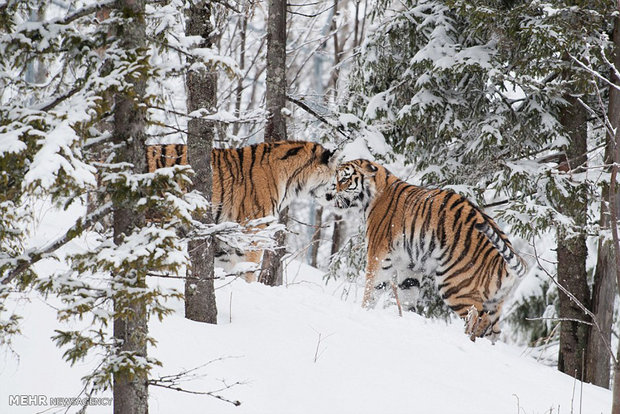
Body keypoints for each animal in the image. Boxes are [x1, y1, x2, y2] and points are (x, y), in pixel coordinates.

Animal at [332, 158, 524, 340]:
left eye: (345, 178)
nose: (332, 191)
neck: (374, 194)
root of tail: (503, 263)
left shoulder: (377, 255)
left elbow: (371, 289)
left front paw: (364, 311)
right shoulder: (409, 266)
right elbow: (407, 296)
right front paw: (402, 318)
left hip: (455, 286)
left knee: (478, 319)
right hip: (494, 302)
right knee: (494, 331)